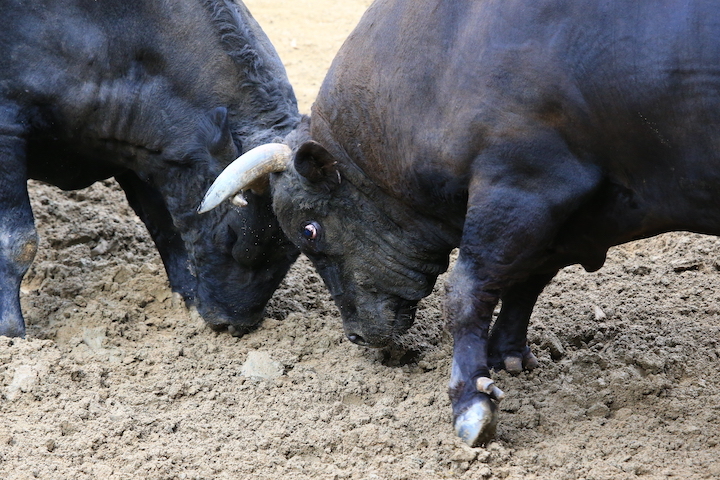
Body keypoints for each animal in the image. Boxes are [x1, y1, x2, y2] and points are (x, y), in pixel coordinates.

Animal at [0, 0, 300, 338]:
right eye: (233, 235)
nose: (235, 323)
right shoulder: (7, 132)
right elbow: (18, 241)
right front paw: (12, 330)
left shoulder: (145, 154)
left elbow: (166, 229)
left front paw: (187, 300)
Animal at [252, 0, 720, 446]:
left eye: (309, 231)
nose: (355, 337)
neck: (443, 66)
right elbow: (525, 281)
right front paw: (507, 354)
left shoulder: (521, 185)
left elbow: (466, 291)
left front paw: (470, 403)